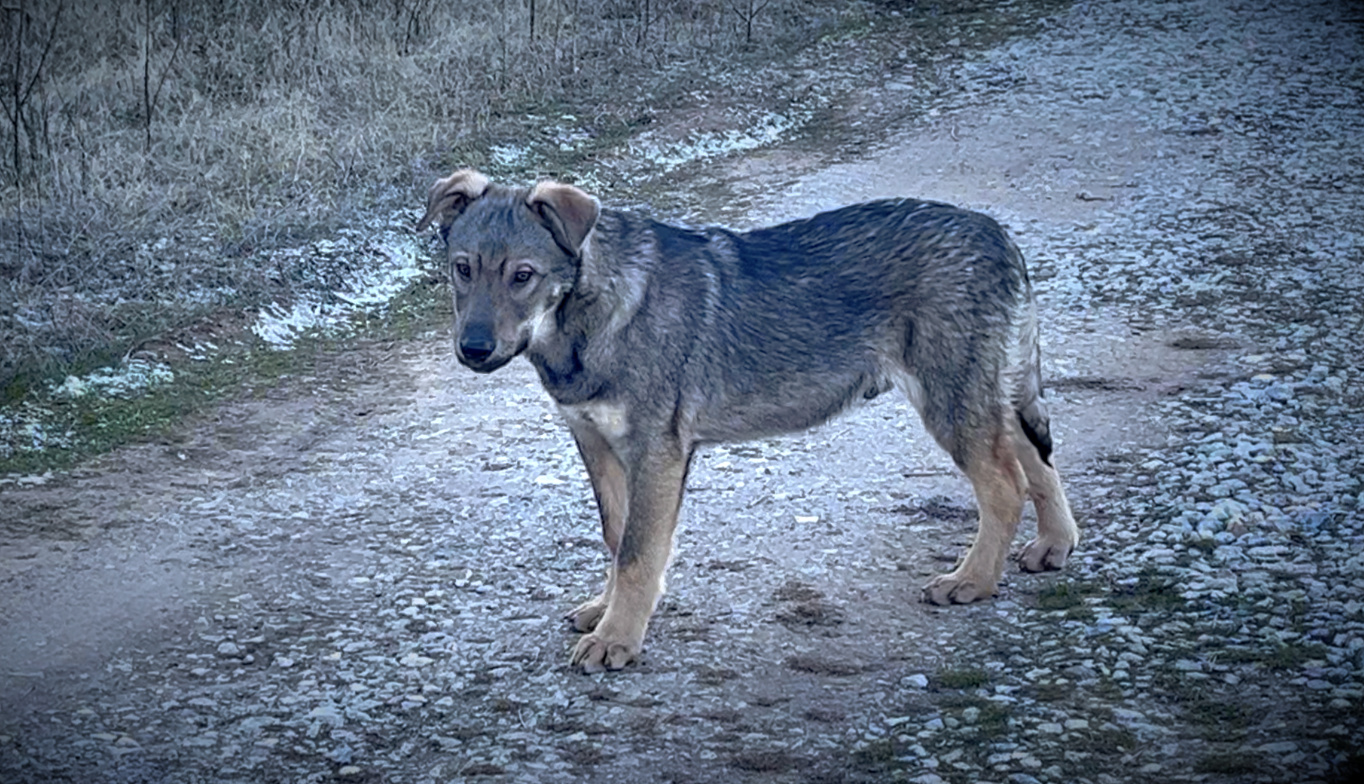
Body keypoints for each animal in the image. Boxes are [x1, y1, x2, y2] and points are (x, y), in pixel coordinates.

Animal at [411, 171, 1074, 676]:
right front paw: (608, 611)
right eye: (463, 269)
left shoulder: (656, 451)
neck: (588, 319)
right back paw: (1052, 547)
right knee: (1037, 464)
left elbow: (637, 552)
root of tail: (995, 231)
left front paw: (617, 638)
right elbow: (616, 539)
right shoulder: (596, 444)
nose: (472, 350)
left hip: (950, 405)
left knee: (1006, 487)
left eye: (522, 275)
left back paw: (973, 581)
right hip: (985, 399)